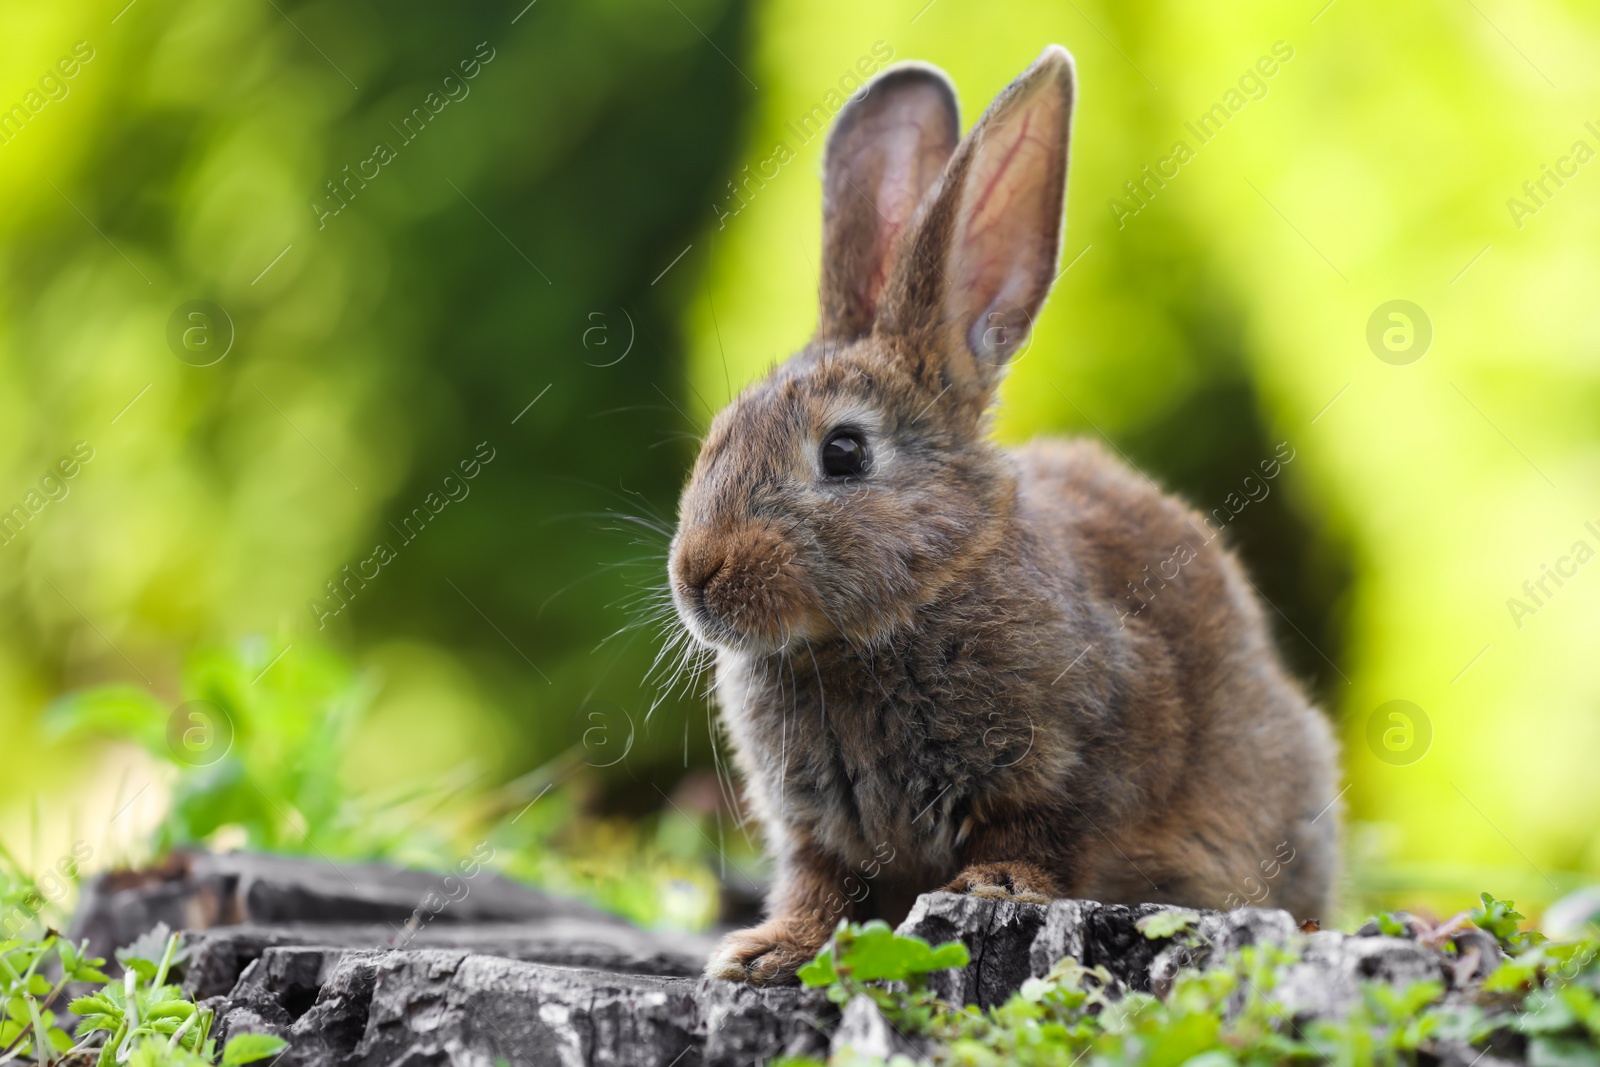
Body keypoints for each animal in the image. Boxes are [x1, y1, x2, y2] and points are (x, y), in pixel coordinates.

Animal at [668, 47, 1344, 985]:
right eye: (721, 433)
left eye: (844, 452)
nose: (696, 575)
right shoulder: (815, 828)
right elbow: (819, 886)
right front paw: (766, 952)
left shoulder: (1077, 759)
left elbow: (1039, 836)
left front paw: (994, 887)